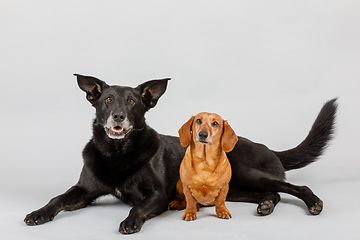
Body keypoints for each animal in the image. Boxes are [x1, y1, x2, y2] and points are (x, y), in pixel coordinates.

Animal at [24, 74, 338, 233]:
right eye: (108, 99)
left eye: (133, 101)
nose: (118, 117)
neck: (117, 153)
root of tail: (269, 148)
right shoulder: (83, 190)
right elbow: (57, 199)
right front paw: (39, 214)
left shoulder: (155, 196)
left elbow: (137, 207)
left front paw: (130, 221)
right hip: (236, 188)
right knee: (272, 193)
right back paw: (266, 205)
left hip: (246, 172)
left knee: (293, 186)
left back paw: (313, 203)